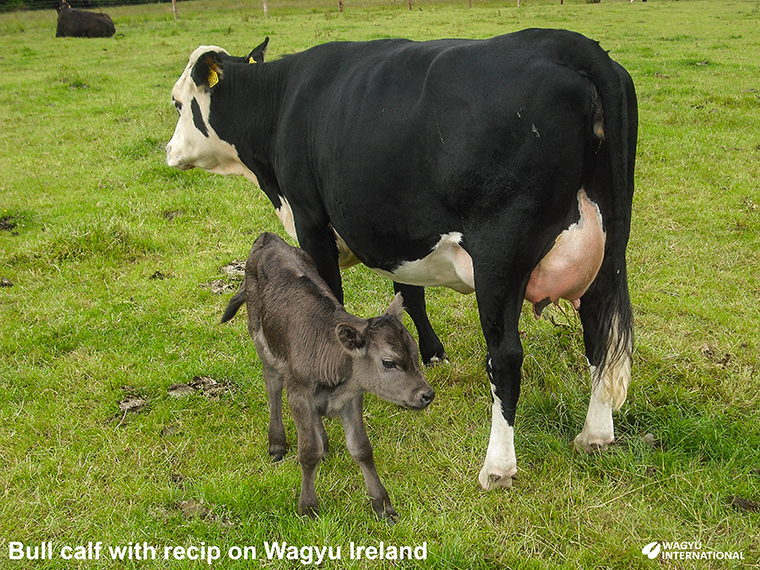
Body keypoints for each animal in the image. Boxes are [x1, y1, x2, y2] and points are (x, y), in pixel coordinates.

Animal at [166, 27, 636, 488]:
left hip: (500, 255)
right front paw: (430, 354)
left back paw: (497, 467)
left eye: (176, 101)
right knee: (600, 336)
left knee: (505, 356)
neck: (282, 103)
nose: (168, 151)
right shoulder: (398, 232)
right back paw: (595, 435)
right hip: (605, 248)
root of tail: (566, 42)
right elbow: (410, 295)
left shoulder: (311, 220)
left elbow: (331, 301)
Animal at [220, 232, 434, 520]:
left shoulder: (351, 398)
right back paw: (277, 443)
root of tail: (268, 237)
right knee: (272, 386)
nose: (426, 394)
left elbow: (362, 449)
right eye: (388, 362)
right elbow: (308, 451)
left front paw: (382, 505)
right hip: (260, 339)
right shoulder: (298, 395)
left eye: (414, 352)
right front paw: (308, 507)